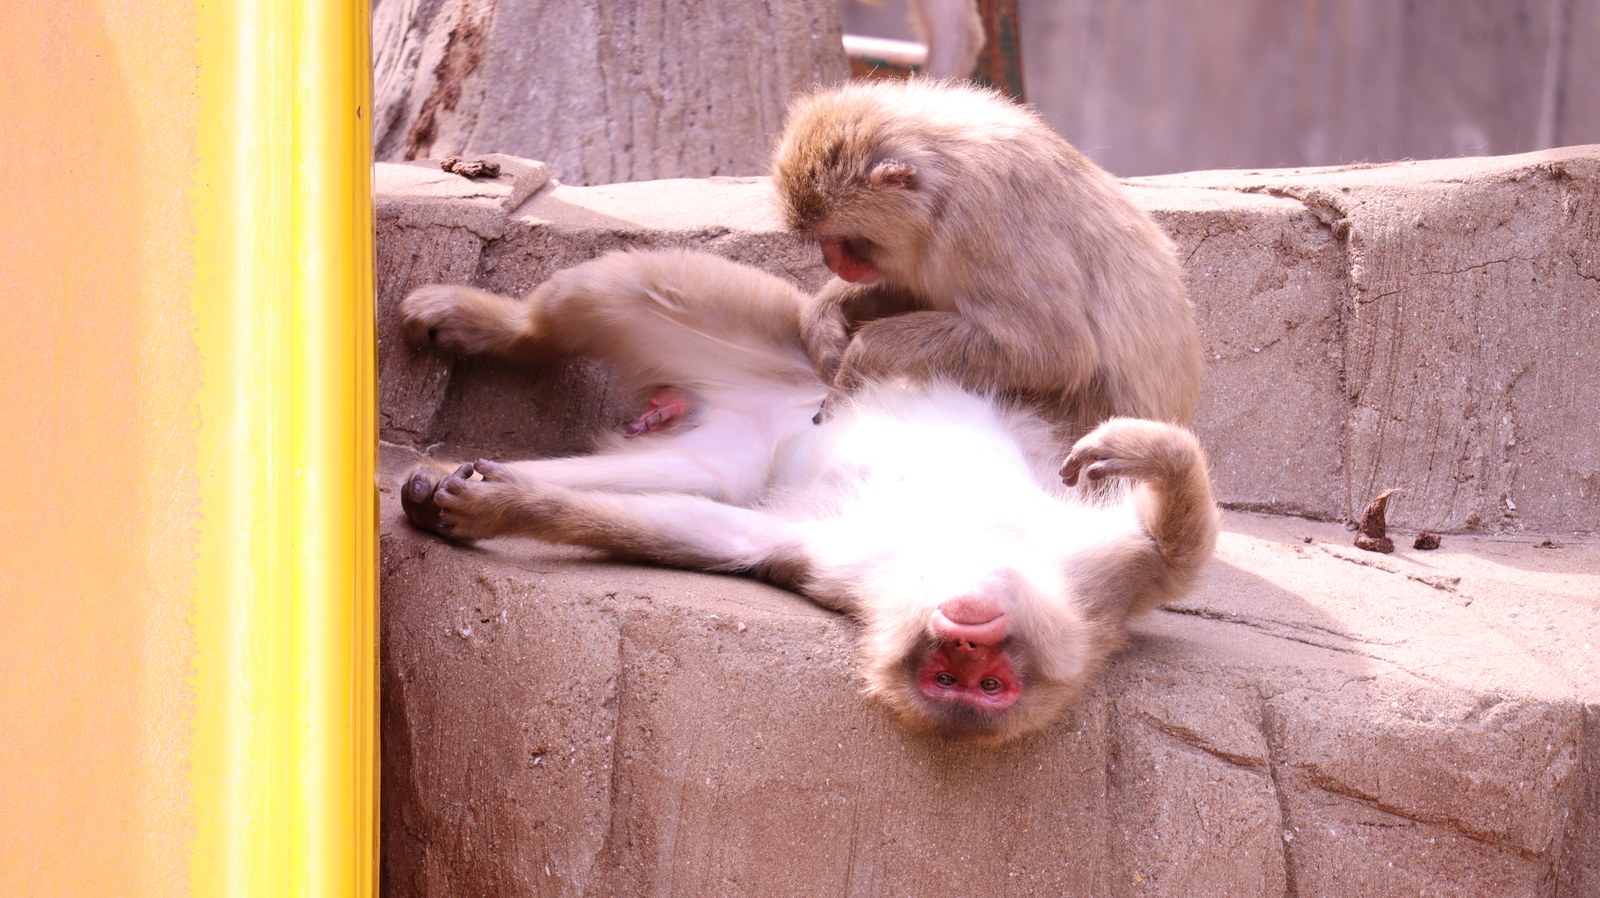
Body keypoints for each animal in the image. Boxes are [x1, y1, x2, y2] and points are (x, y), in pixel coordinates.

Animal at [398, 248, 1218, 745]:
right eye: (957, 672)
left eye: (983, 683)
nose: (964, 635)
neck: (965, 549)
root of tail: (756, 411)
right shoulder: (1103, 572)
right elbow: (1173, 548)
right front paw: (1144, 449)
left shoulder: (844, 572)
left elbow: (711, 531)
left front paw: (502, 508)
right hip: (791, 344)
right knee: (624, 288)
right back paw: (496, 324)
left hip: (728, 448)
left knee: (695, 479)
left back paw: (483, 473)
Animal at [771, 78, 1204, 438]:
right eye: (822, 241)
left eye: (843, 239)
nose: (834, 263)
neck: (940, 192)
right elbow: (906, 289)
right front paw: (823, 326)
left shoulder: (982, 220)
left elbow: (1054, 350)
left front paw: (863, 353)